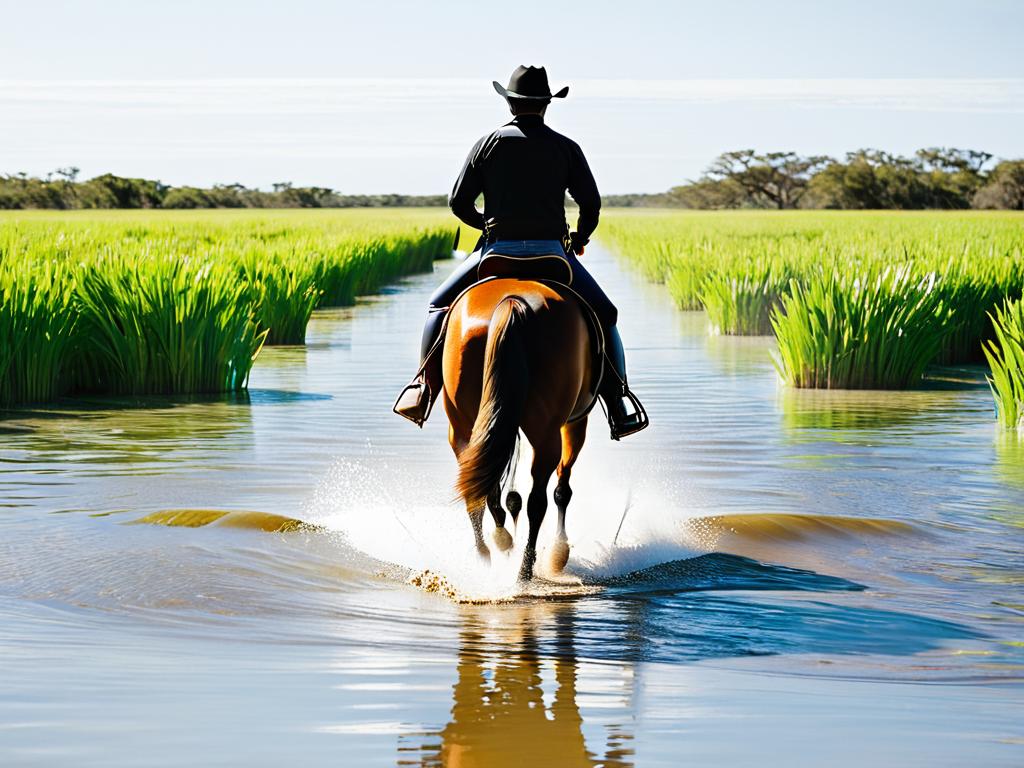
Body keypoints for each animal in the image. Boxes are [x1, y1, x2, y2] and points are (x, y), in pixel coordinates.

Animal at [444, 280, 598, 581]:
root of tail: (511, 302)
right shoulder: (575, 422)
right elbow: (562, 489)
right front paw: (559, 553)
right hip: (549, 432)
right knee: (539, 501)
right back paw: (525, 570)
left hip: (463, 429)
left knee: (477, 492)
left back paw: (488, 556)